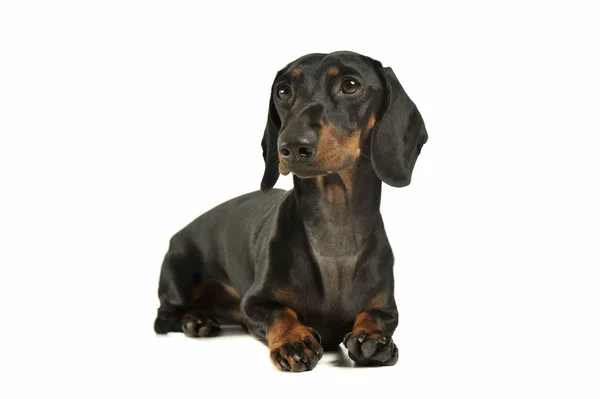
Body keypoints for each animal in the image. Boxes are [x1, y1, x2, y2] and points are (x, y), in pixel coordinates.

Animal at [155, 50, 426, 372]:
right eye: (283, 91)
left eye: (350, 85)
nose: (292, 146)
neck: (334, 229)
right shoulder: (253, 304)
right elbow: (281, 313)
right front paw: (293, 340)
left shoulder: (386, 309)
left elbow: (373, 317)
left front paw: (372, 339)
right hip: (178, 277)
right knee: (165, 315)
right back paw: (196, 320)